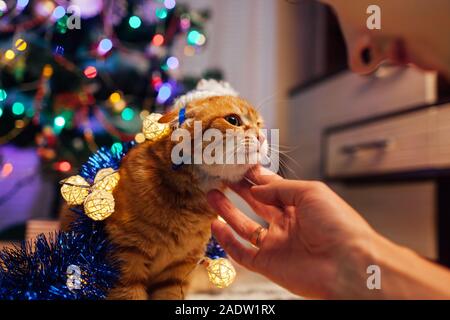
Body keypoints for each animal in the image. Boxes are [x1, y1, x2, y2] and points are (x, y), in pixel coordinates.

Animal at [105, 80, 268, 300]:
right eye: (233, 120)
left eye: (259, 124)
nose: (262, 136)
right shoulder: (127, 254)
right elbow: (131, 294)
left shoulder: (177, 270)